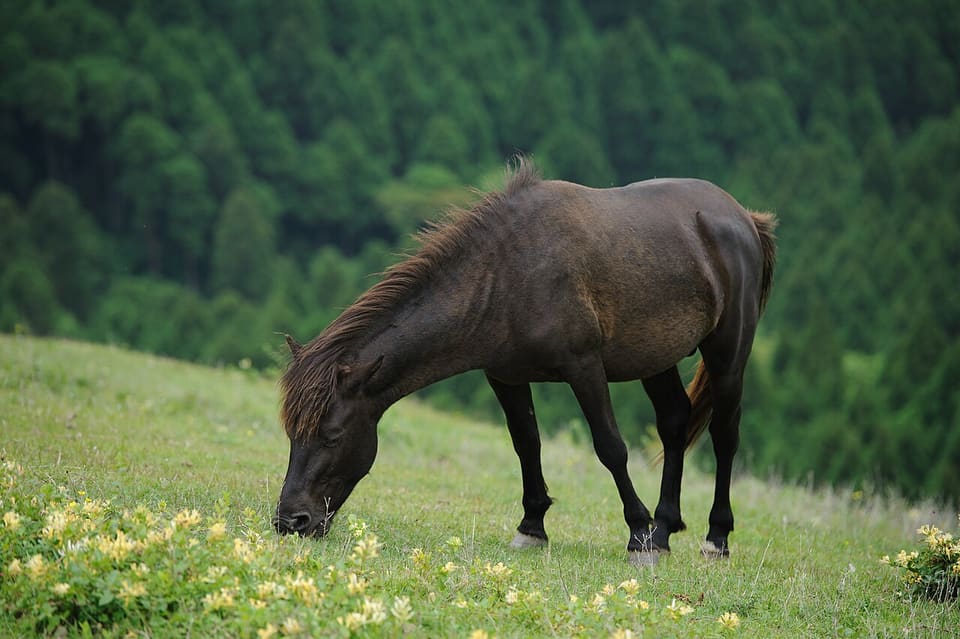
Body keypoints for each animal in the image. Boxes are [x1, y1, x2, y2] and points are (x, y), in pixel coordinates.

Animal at [274, 158, 776, 565]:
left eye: (332, 435)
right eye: (292, 433)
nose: (291, 521)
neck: (507, 275)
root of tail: (744, 219)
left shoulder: (584, 368)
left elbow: (610, 447)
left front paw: (636, 533)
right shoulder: (505, 376)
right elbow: (526, 444)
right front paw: (532, 528)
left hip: (728, 354)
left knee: (725, 435)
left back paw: (714, 538)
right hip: (656, 359)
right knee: (674, 423)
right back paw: (665, 530)